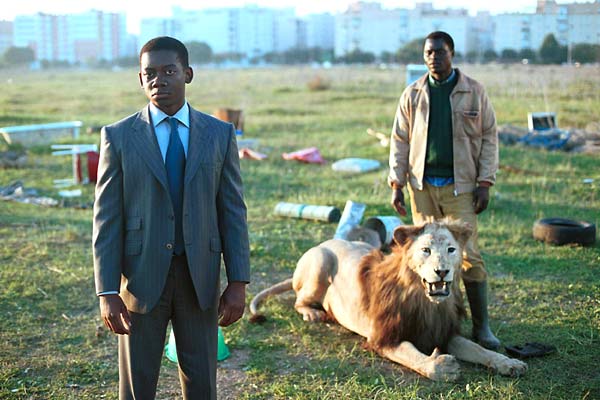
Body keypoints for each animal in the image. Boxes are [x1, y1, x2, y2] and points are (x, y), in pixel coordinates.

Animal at [248, 219, 524, 382]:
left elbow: (479, 350)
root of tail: (324, 242)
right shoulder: (383, 338)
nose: (442, 271)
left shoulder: (444, 332)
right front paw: (442, 367)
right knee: (299, 299)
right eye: (425, 250)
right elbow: (413, 356)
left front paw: (508, 362)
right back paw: (313, 312)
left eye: (451, 250)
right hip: (320, 261)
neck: (425, 301)